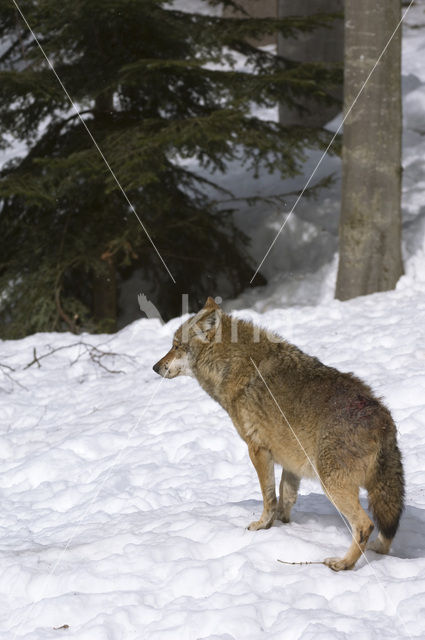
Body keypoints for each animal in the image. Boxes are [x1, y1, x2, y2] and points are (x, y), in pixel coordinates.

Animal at [152, 298, 404, 572]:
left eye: (176, 346)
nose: (155, 367)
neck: (233, 365)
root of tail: (382, 419)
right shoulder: (291, 459)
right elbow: (286, 496)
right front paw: (283, 527)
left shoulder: (258, 450)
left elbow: (268, 496)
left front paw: (262, 525)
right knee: (387, 528)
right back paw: (377, 551)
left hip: (332, 484)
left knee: (365, 524)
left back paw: (341, 563)